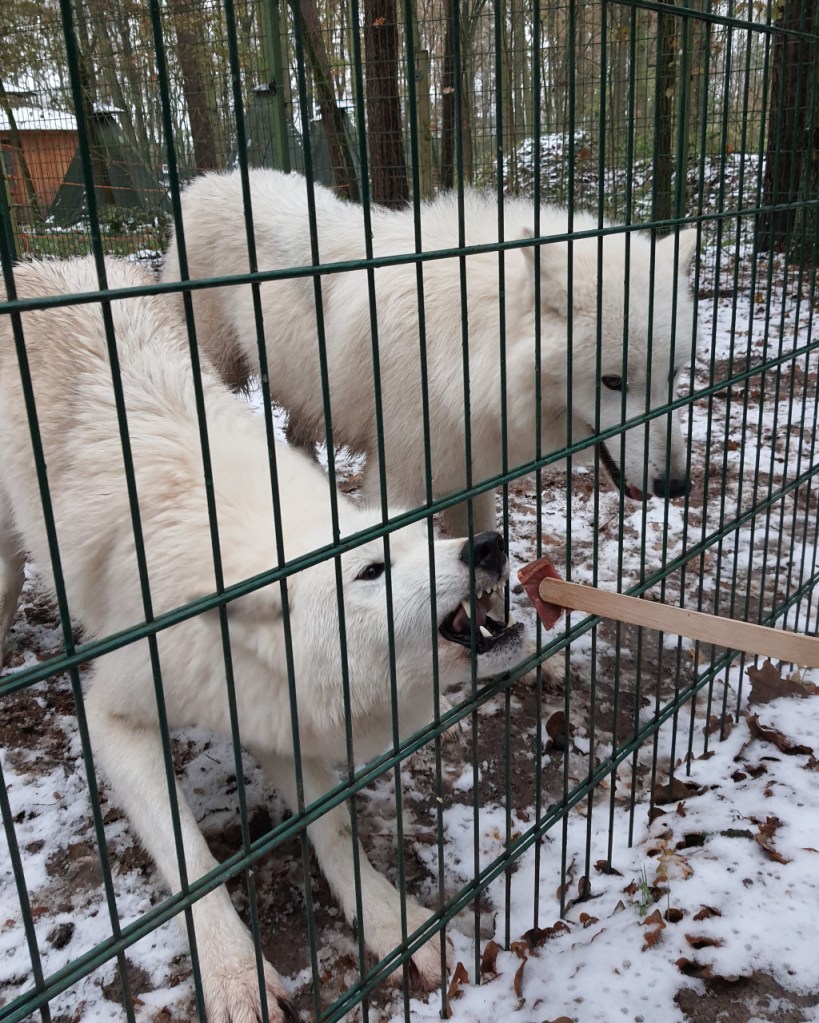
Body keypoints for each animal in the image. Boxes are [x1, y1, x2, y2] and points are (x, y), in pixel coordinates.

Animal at [0, 257, 524, 1023]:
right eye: (371, 570)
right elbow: (193, 863)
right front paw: (236, 976)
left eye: (429, 538)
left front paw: (392, 923)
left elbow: (335, 829)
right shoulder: (115, 716)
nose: (488, 545)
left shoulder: (274, 713)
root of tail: (37, 265)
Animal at [162, 169, 699, 537]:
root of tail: (209, 179)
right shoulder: (398, 483)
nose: (677, 486)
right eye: (613, 381)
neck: (466, 349)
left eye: (671, 376)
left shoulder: (472, 476)